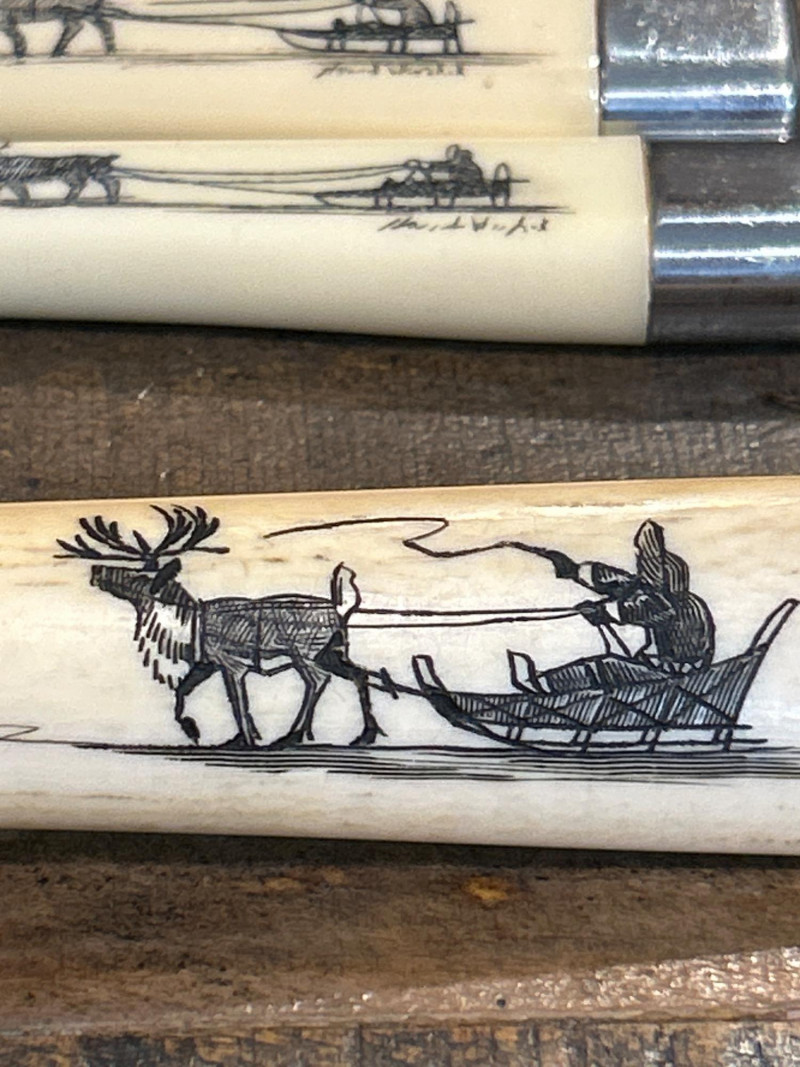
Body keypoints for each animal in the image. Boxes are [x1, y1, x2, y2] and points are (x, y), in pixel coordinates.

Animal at [56, 505, 384, 749]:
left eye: (139, 576)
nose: (96, 571)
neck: (185, 623)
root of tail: (340, 607)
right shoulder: (208, 664)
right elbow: (183, 692)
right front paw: (197, 731)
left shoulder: (231, 663)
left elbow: (238, 702)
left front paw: (246, 739)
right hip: (331, 652)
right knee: (359, 675)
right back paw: (364, 735)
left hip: (304, 653)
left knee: (317, 681)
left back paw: (292, 736)